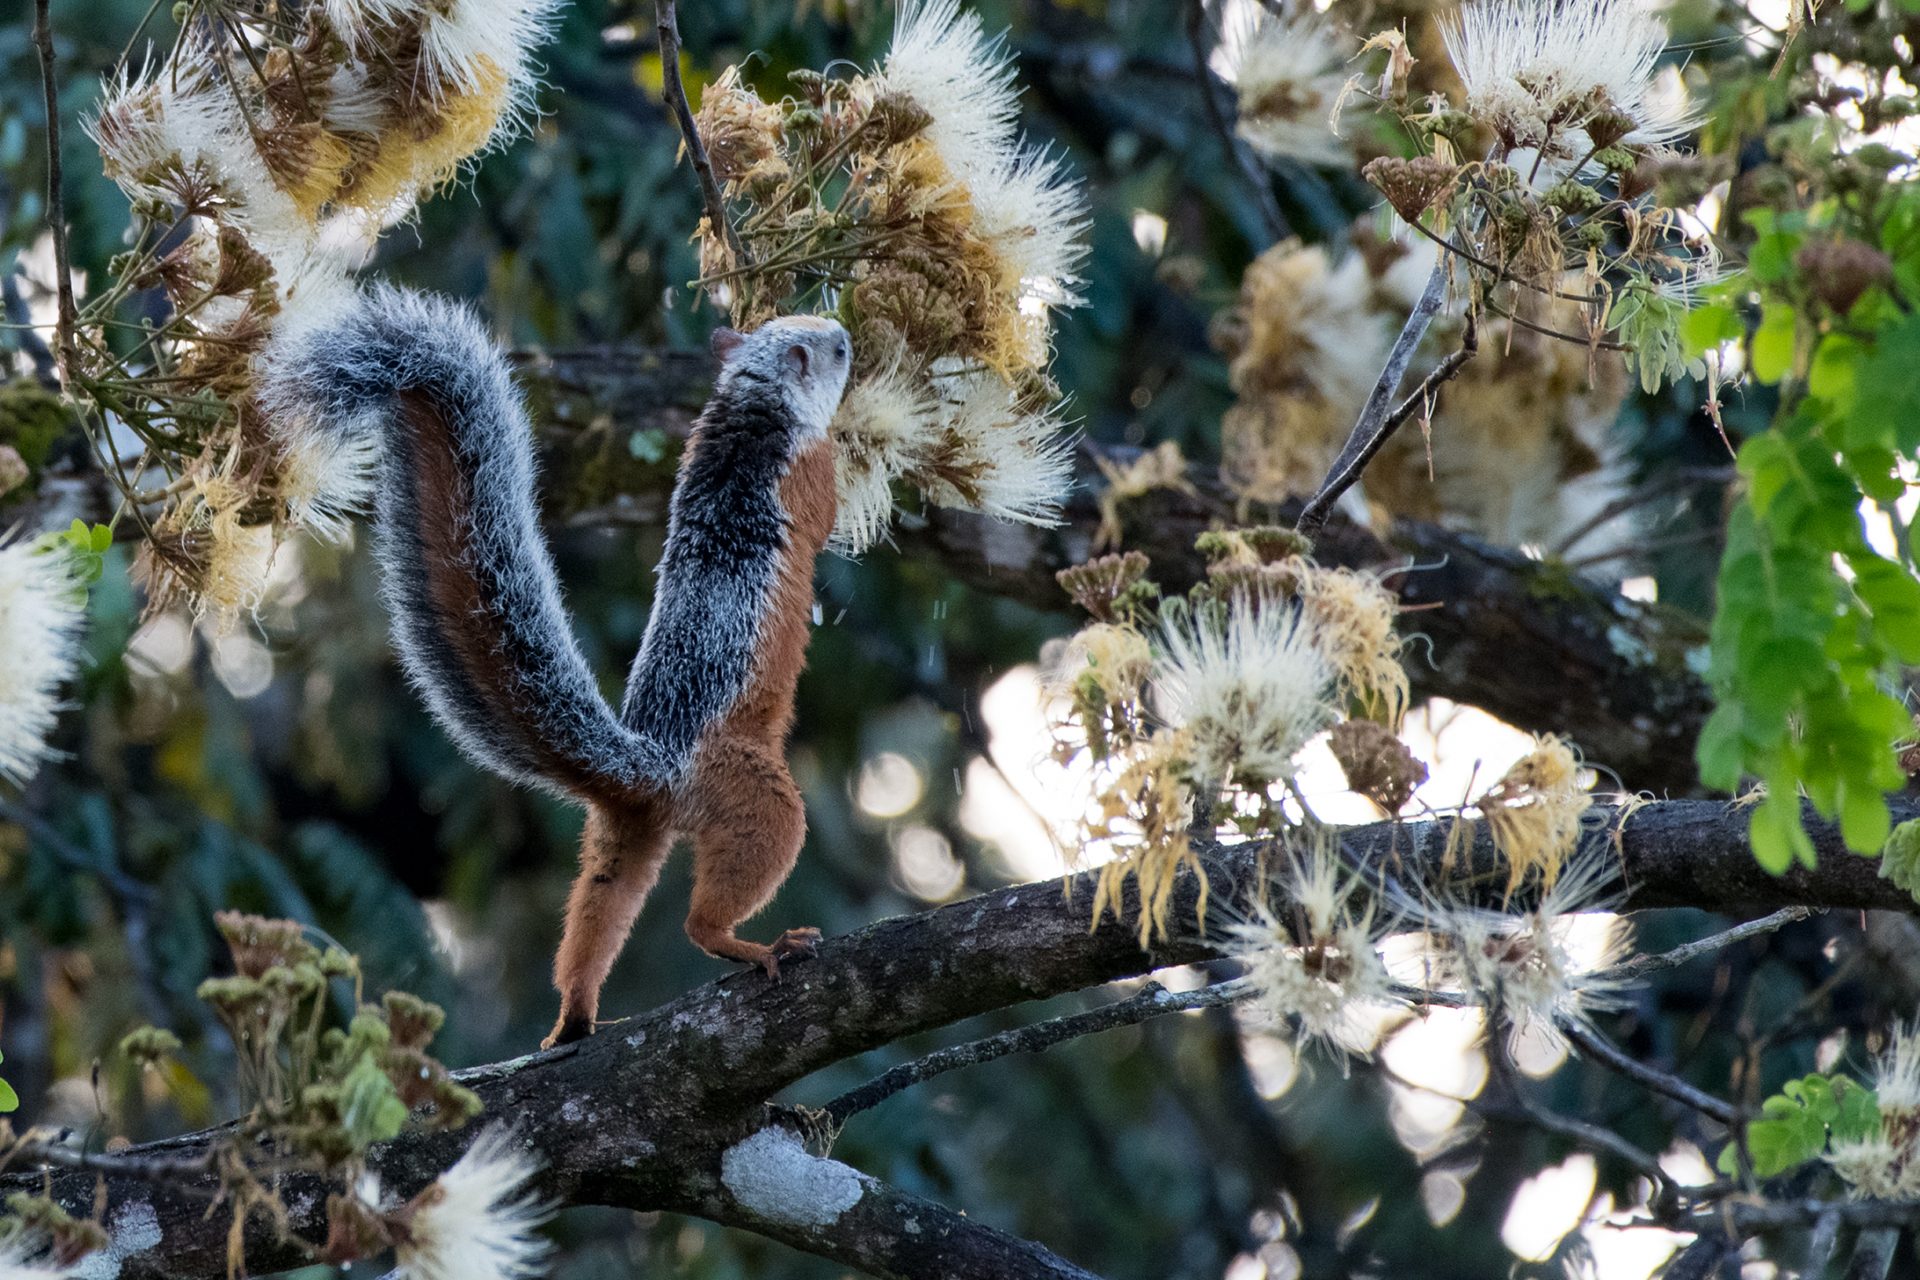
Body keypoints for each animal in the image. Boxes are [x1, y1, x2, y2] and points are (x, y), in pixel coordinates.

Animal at [264, 284, 852, 1047]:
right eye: (831, 350)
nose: (847, 335)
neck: (752, 406)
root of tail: (654, 768)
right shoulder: (807, 469)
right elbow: (832, 508)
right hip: (756, 796)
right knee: (709, 909)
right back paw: (755, 946)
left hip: (622, 834)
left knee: (601, 903)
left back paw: (574, 1015)